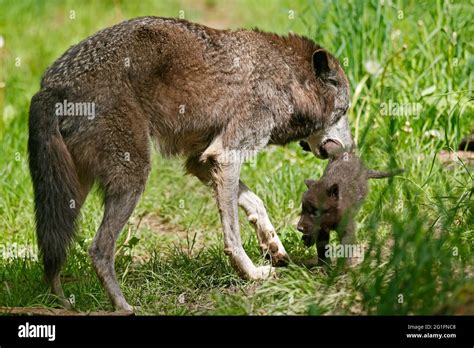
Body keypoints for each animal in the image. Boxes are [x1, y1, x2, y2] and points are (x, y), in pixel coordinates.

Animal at [28, 17, 352, 310]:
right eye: (345, 111)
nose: (351, 147)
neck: (284, 78)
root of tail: (50, 86)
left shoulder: (202, 162)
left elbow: (256, 202)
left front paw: (273, 246)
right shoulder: (226, 156)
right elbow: (233, 235)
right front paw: (252, 273)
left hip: (70, 194)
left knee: (54, 252)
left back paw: (60, 302)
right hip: (133, 178)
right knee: (98, 250)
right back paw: (122, 306)